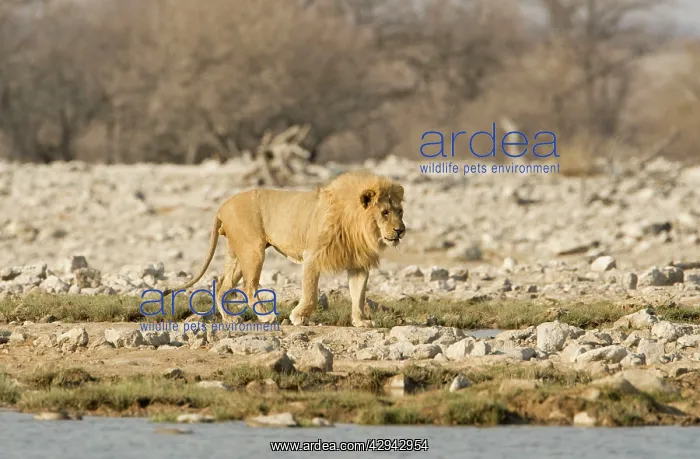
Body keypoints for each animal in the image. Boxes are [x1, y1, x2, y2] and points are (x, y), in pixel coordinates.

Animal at [162, 171, 406, 327]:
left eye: (400, 212)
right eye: (385, 212)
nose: (401, 230)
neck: (357, 226)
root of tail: (222, 206)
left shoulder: (358, 264)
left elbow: (359, 295)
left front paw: (360, 321)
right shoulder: (312, 256)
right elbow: (310, 293)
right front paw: (299, 317)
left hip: (237, 255)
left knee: (223, 287)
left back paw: (230, 319)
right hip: (253, 250)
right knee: (249, 286)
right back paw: (265, 317)